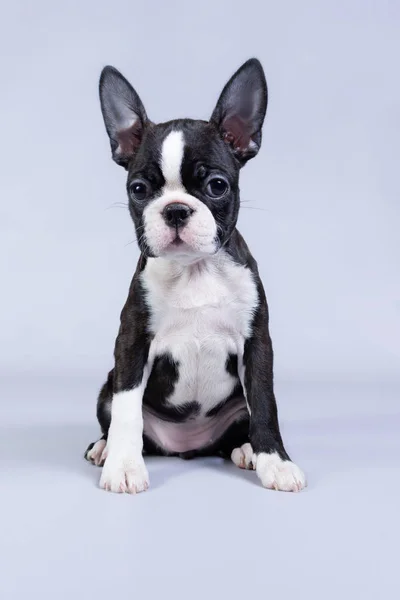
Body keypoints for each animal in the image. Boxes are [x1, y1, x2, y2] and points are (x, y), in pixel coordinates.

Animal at [85, 58, 306, 494]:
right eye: (139, 189)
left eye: (216, 186)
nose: (175, 209)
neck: (195, 269)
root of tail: (186, 448)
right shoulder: (132, 344)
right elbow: (126, 411)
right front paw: (123, 466)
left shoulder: (257, 343)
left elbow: (265, 404)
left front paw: (275, 462)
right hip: (106, 386)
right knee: (116, 415)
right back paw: (103, 448)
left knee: (240, 426)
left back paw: (247, 450)